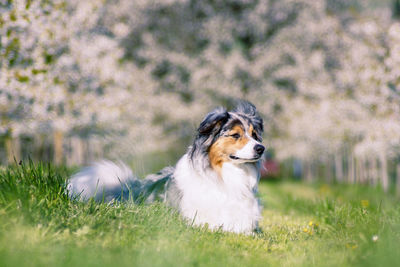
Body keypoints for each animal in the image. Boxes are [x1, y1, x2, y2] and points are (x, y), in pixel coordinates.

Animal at [67, 100, 264, 234]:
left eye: (254, 135)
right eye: (235, 135)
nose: (261, 148)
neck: (225, 175)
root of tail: (132, 187)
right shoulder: (200, 220)